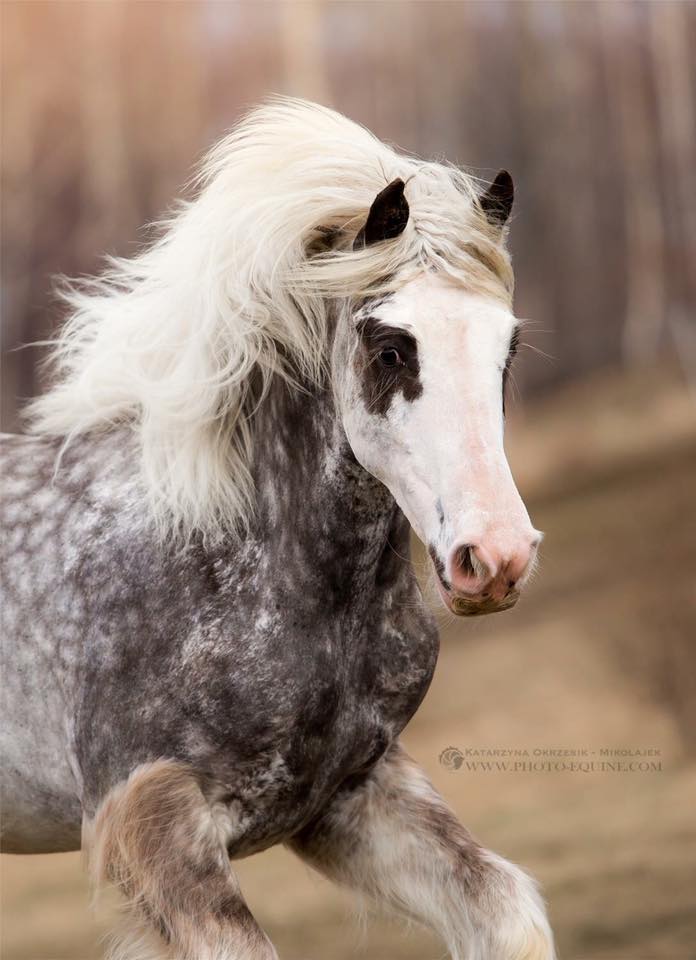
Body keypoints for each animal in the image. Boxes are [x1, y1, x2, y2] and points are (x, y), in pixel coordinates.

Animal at [0, 99, 556, 960]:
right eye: (391, 348)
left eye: (508, 346)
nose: (494, 558)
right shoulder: (155, 822)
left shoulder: (351, 797)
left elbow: (505, 912)